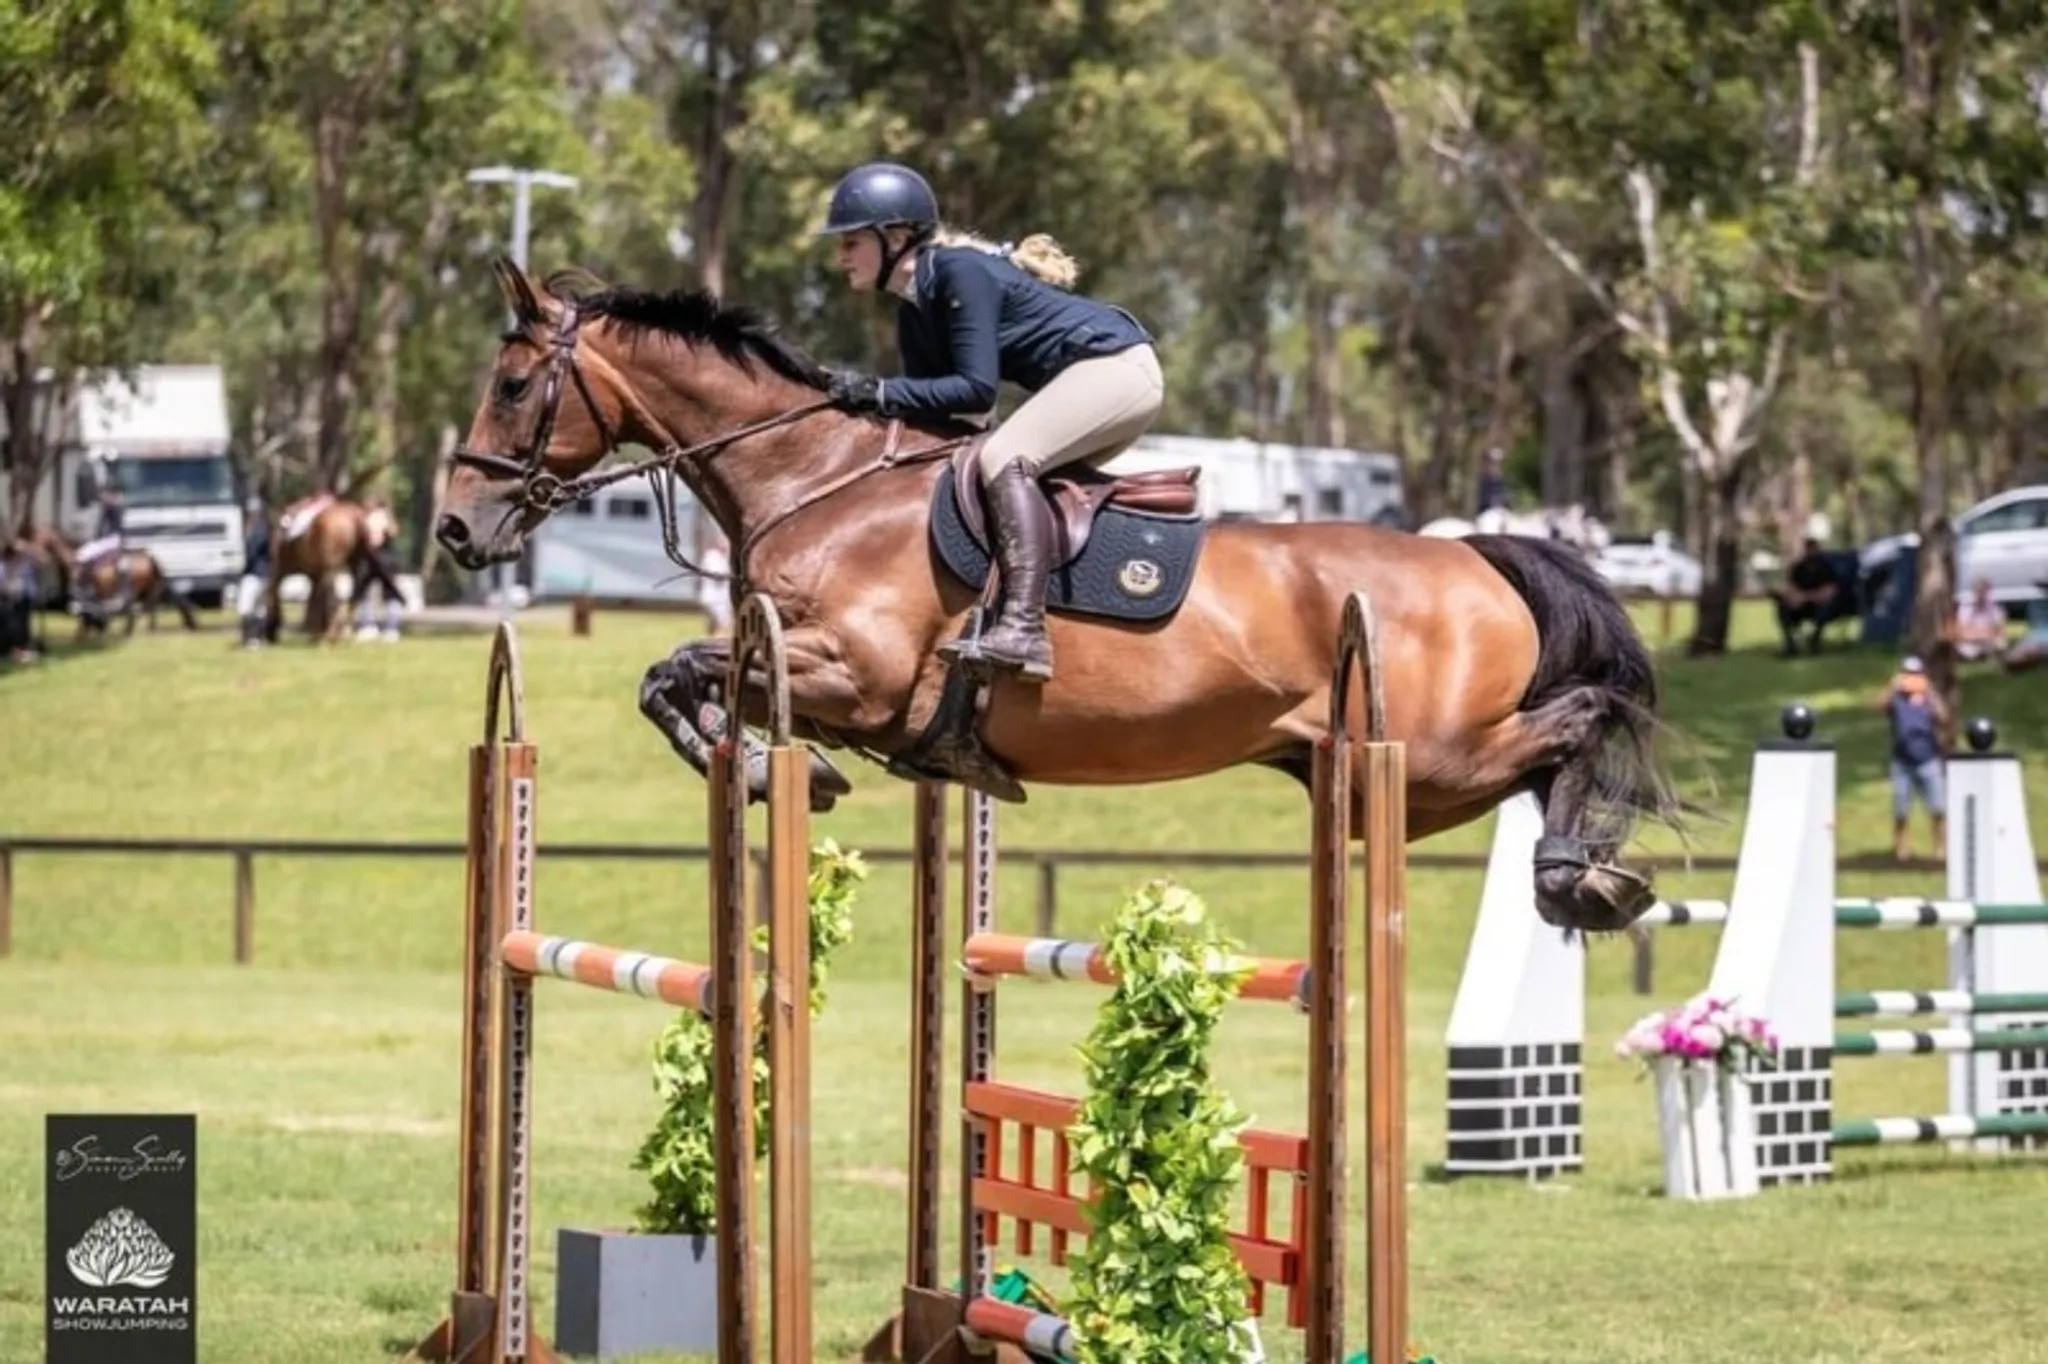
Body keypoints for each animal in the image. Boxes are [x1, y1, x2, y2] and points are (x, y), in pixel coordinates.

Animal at [19, 524, 200, 637]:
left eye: (37, 538)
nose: (35, 556)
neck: (75, 559)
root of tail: (149, 557)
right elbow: (92, 615)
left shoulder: (87, 594)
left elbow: (87, 615)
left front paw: (87, 633)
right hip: (146, 590)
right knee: (148, 609)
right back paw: (142, 629)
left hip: (134, 591)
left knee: (141, 610)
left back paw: (135, 630)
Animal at [265, 495, 407, 643]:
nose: (394, 529)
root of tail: (354, 517)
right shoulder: (314, 574)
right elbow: (315, 598)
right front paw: (315, 632)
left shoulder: (284, 569)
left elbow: (278, 593)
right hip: (350, 566)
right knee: (352, 596)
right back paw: (340, 633)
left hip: (331, 569)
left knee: (335, 599)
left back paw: (329, 635)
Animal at [434, 260, 1685, 934]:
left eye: (513, 385)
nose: (454, 527)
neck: (815, 479)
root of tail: (1475, 556)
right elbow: (676, 679)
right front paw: (756, 764)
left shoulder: (858, 672)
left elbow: (679, 670)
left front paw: (769, 764)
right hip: (1378, 773)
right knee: (1546, 748)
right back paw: (1579, 876)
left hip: (1421, 758)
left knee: (1578, 719)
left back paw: (1578, 870)